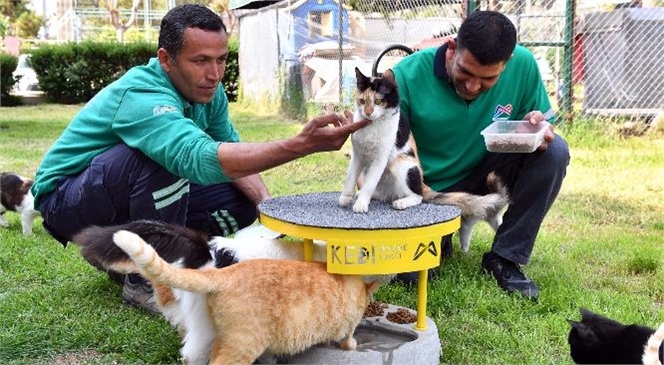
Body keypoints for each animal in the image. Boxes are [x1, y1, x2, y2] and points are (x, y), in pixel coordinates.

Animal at [340, 67, 510, 252]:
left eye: (378, 101)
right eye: (362, 101)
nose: (368, 112)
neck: (371, 126)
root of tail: (422, 183)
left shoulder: (380, 158)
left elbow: (370, 182)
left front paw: (361, 204)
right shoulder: (358, 155)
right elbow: (350, 176)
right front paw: (346, 197)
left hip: (402, 164)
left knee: (418, 196)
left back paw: (401, 202)